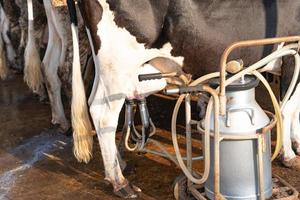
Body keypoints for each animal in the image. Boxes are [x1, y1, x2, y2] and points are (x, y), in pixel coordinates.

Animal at [67, 0, 300, 198]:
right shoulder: (293, 53)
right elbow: (288, 109)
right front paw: (288, 155)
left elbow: (296, 111)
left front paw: (296, 142)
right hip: (118, 65)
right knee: (103, 115)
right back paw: (120, 182)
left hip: (106, 68)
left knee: (94, 103)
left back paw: (120, 163)